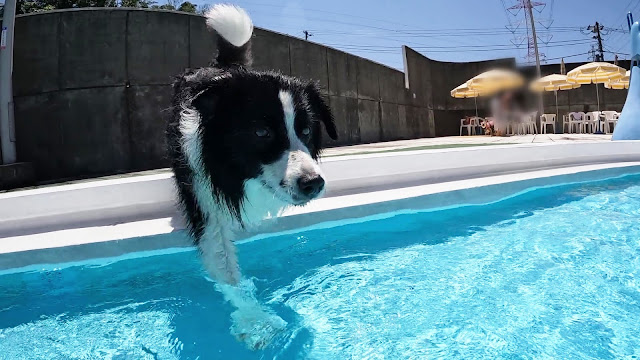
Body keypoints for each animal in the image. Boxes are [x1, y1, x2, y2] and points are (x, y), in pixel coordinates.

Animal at [168, 3, 338, 348]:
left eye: (305, 130)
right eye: (261, 132)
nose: (314, 184)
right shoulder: (203, 194)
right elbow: (227, 273)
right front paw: (257, 321)